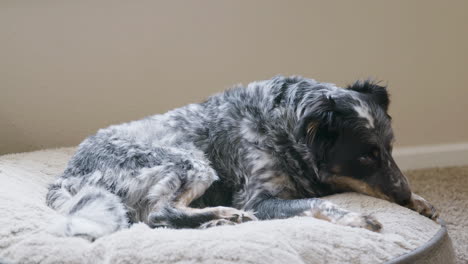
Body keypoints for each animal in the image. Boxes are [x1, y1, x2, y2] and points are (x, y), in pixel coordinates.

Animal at [45, 75, 436, 240]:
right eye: (366, 156)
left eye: (390, 148)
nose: (402, 195)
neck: (278, 124)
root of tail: (65, 177)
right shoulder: (258, 199)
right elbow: (318, 202)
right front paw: (357, 217)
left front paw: (418, 200)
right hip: (190, 161)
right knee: (155, 213)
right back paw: (223, 215)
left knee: (148, 219)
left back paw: (215, 223)